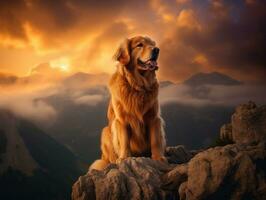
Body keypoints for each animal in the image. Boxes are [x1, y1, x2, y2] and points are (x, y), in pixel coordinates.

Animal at [90, 36, 167, 170]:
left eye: (153, 44)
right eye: (140, 45)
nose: (157, 50)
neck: (137, 86)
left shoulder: (154, 117)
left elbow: (155, 140)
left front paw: (158, 158)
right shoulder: (122, 120)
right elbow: (124, 140)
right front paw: (124, 158)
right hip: (105, 132)